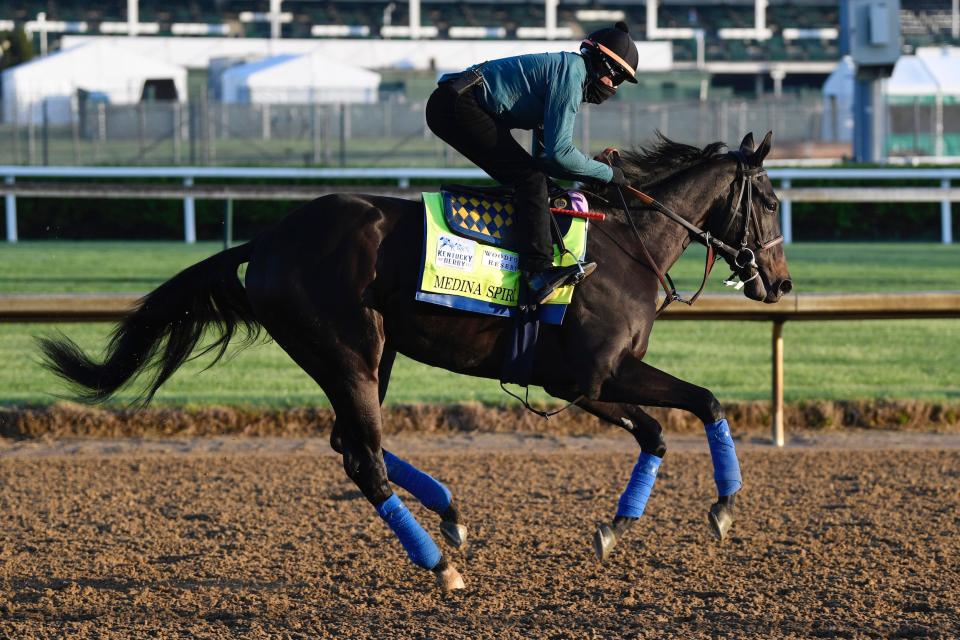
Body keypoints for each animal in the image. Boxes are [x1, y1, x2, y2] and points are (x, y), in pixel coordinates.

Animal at [37, 131, 792, 596]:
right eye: (770, 199)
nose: (781, 284)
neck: (625, 246)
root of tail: (268, 240)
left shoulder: (597, 380)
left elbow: (683, 416)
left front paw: (676, 517)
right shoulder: (587, 377)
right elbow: (680, 414)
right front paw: (678, 515)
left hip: (370, 355)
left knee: (349, 443)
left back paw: (451, 513)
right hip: (349, 351)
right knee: (364, 460)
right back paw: (441, 569)